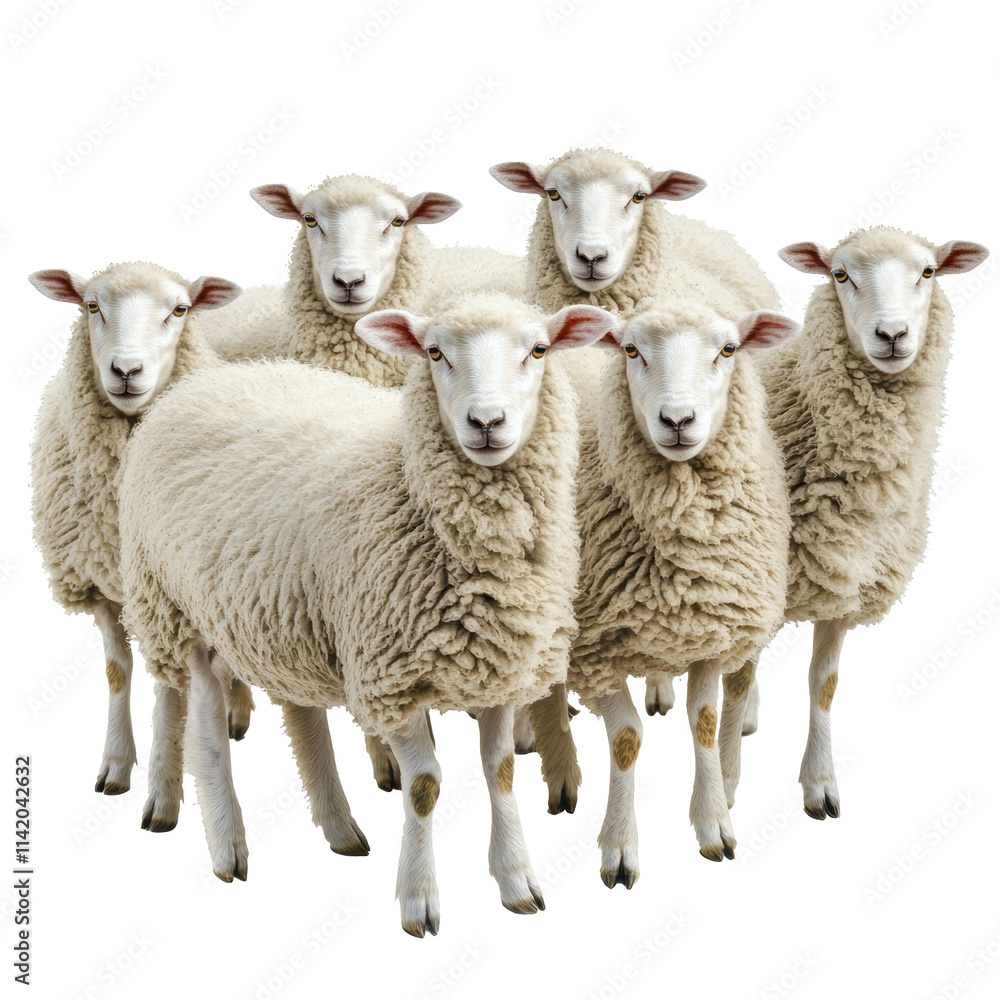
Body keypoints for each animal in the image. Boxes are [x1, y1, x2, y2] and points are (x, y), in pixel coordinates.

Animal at [28, 262, 248, 832]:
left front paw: (163, 793)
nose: (126, 370)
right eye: (91, 306)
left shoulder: (157, 593)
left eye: (180, 309)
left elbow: (169, 689)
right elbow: (116, 673)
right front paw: (115, 766)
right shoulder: (104, 586)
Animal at [118, 290, 613, 926]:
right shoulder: (391, 675)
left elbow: (500, 772)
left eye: (539, 349)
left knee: (285, 710)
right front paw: (419, 900)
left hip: (278, 616)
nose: (486, 423)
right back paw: (220, 840)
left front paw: (516, 881)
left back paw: (331, 826)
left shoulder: (501, 666)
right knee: (197, 719)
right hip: (178, 603)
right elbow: (424, 786)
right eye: (435, 353)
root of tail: (202, 383)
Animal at [568, 276, 800, 884]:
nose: (677, 420)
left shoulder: (712, 627)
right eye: (631, 351)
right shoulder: (593, 650)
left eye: (728, 349)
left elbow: (705, 721)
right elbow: (626, 739)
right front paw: (619, 846)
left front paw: (714, 822)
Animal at [764, 227, 989, 820]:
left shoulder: (847, 573)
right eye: (840, 274)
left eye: (928, 271)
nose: (891, 335)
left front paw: (820, 783)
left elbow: (824, 684)